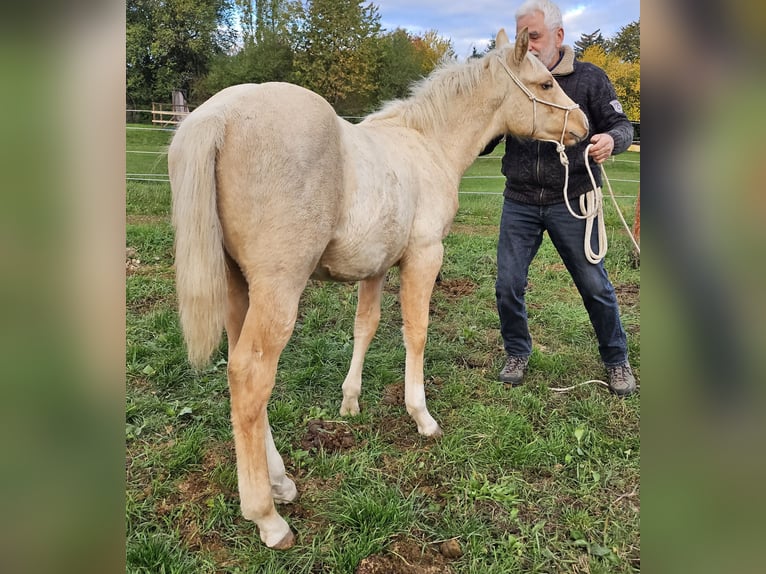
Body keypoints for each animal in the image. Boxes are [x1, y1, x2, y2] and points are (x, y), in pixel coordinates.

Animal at [168, 29, 588, 552]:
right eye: (546, 82)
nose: (584, 127)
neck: (427, 145)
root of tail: (216, 118)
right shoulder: (425, 256)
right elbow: (416, 332)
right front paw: (422, 417)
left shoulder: (377, 267)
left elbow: (364, 327)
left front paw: (350, 403)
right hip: (277, 290)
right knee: (251, 377)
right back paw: (268, 517)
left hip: (237, 286)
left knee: (238, 374)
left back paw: (281, 481)